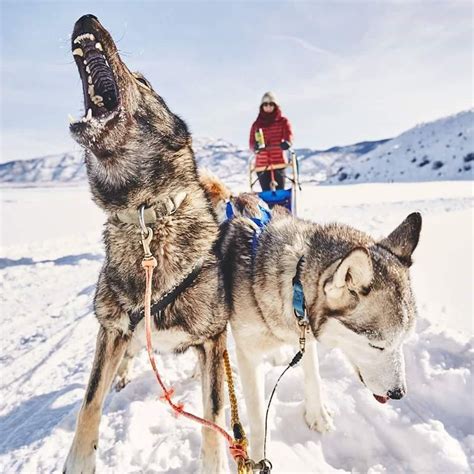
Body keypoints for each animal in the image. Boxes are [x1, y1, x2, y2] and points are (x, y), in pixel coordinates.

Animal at [64, 14, 230, 474]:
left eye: (144, 81)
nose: (86, 17)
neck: (144, 217)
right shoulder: (111, 329)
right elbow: (89, 403)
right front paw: (79, 460)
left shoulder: (213, 340)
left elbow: (213, 418)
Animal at [204, 179, 422, 462]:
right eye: (377, 345)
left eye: (405, 339)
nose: (399, 393)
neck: (294, 282)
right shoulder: (248, 356)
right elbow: (258, 417)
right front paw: (259, 457)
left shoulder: (303, 333)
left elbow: (313, 376)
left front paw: (317, 416)